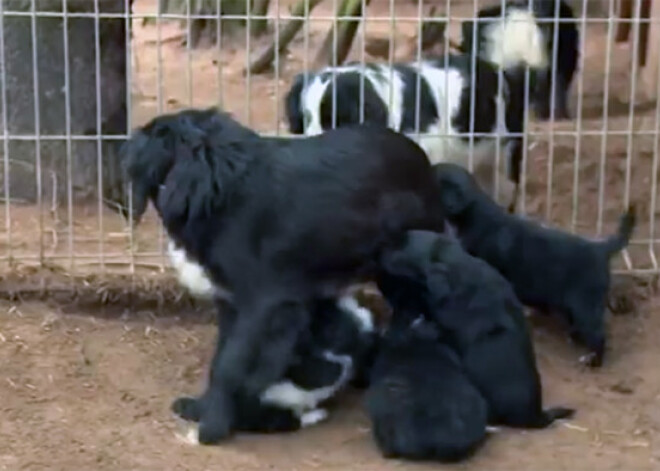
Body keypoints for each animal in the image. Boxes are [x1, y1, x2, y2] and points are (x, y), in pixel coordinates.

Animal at [434, 164, 636, 366]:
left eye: (454, 190)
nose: (450, 203)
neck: (474, 213)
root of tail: (600, 249)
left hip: (585, 305)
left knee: (598, 335)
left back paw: (592, 360)